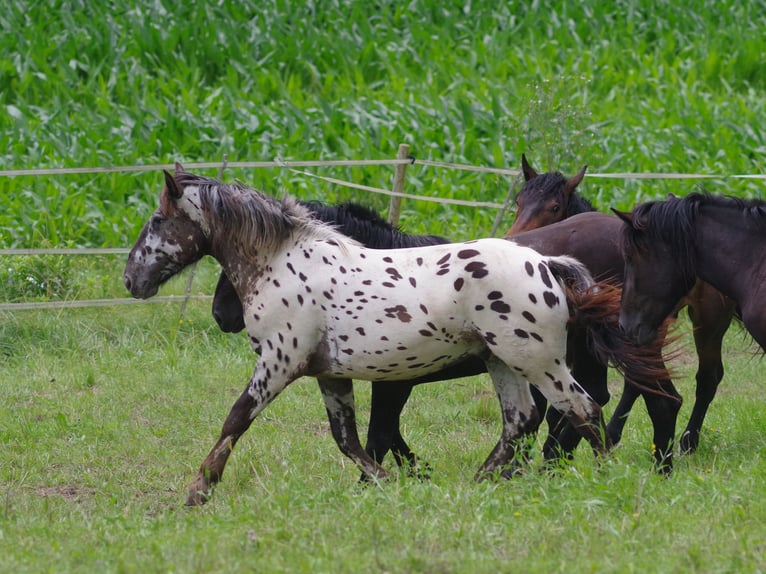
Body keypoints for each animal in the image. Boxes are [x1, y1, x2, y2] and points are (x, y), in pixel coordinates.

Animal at [508, 155, 740, 456]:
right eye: (519, 200)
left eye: (554, 207)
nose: (513, 238)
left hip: (707, 322)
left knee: (708, 378)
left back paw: (688, 440)